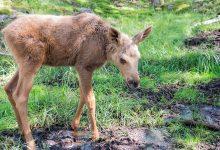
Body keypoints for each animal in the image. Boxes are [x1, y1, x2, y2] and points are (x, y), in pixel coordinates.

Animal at [2, 12, 151, 149]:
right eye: (122, 59)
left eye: (139, 57)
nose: (135, 82)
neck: (104, 49)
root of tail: (5, 31)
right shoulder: (83, 66)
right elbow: (90, 99)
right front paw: (95, 135)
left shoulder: (80, 67)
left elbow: (82, 95)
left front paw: (74, 124)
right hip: (32, 60)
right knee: (20, 96)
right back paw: (30, 141)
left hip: (24, 63)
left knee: (8, 87)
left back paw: (21, 130)